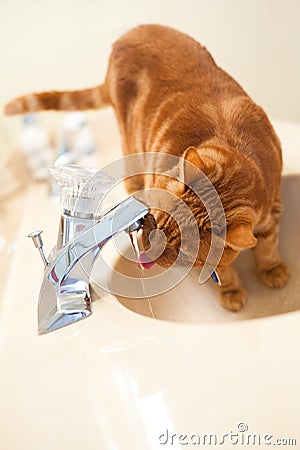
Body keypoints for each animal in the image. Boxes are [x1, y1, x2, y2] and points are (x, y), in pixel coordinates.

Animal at [3, 23, 290, 310]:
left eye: (183, 253)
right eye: (154, 220)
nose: (145, 256)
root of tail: (129, 34)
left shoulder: (273, 210)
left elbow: (267, 247)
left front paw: (271, 269)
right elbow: (225, 268)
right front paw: (231, 290)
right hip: (130, 142)